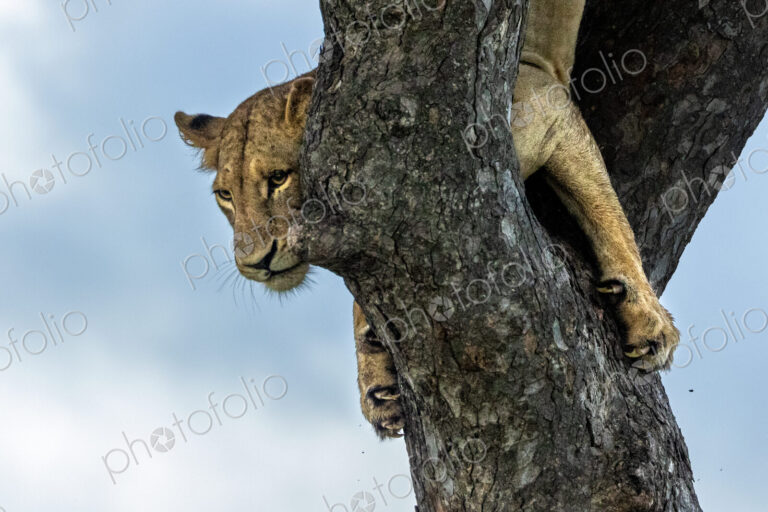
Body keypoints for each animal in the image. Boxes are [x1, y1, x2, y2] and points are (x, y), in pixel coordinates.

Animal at [174, 0, 680, 439]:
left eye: (279, 178)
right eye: (225, 196)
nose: (255, 262)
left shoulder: (546, 100)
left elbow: (606, 210)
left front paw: (649, 322)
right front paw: (376, 378)